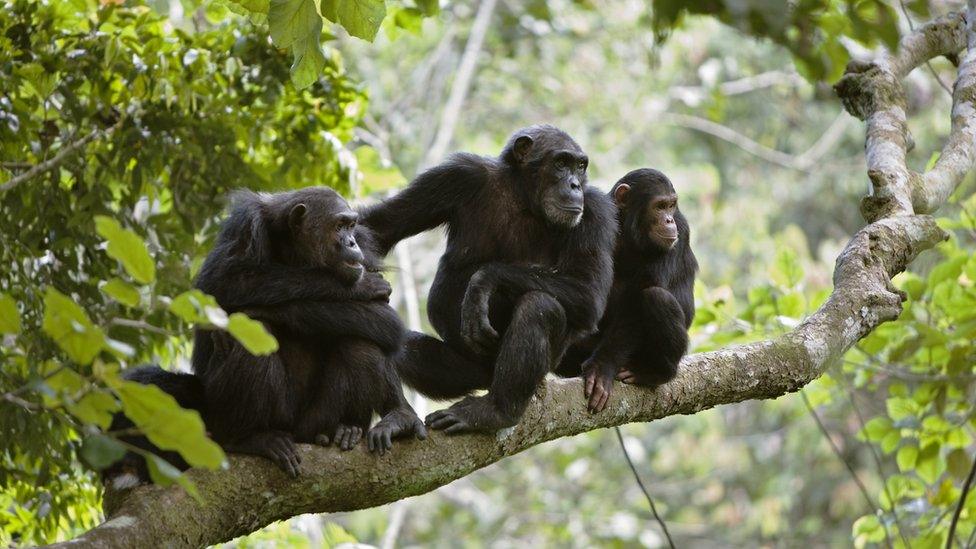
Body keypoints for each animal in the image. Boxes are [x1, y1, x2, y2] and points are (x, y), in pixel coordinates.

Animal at [108, 187, 426, 480]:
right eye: (338, 226)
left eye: (351, 225)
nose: (350, 242)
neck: (296, 250)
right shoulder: (245, 226)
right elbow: (225, 281)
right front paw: (360, 287)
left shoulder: (365, 246)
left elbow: (384, 319)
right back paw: (250, 438)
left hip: (312, 423)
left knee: (361, 342)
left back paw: (366, 424)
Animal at [362, 124, 612, 432]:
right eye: (561, 163)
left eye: (580, 166)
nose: (575, 185)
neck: (524, 197)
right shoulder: (456, 175)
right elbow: (379, 227)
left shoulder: (596, 211)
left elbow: (588, 290)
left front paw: (483, 281)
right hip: (466, 371)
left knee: (540, 307)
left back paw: (495, 412)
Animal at [552, 167, 696, 412]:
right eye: (659, 206)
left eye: (671, 205)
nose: (668, 220)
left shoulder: (681, 227)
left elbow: (640, 295)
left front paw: (602, 368)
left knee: (656, 297)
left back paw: (655, 372)